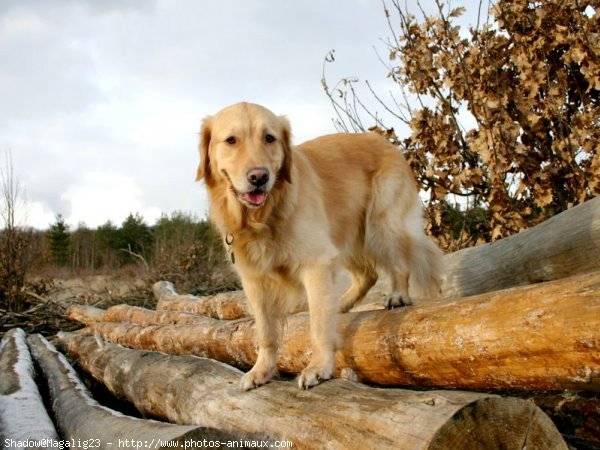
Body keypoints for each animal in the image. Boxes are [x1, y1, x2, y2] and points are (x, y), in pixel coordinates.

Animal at [196, 103, 440, 390]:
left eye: (269, 138)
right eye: (231, 140)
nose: (259, 177)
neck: (262, 218)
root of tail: (384, 142)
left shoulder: (315, 263)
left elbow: (318, 324)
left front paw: (319, 367)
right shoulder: (254, 280)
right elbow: (265, 332)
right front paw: (261, 371)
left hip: (381, 224)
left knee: (399, 263)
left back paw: (398, 296)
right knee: (367, 275)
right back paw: (342, 303)